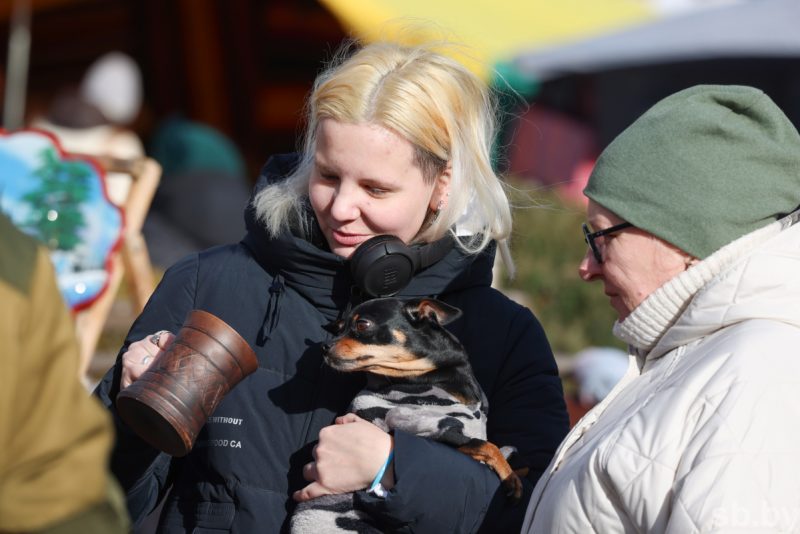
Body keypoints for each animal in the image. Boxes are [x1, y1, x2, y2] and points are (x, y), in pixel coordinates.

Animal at [292, 300, 524, 532]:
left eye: (362, 325)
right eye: (339, 329)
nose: (324, 347)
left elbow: (489, 445)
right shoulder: (439, 431)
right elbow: (487, 446)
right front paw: (510, 476)